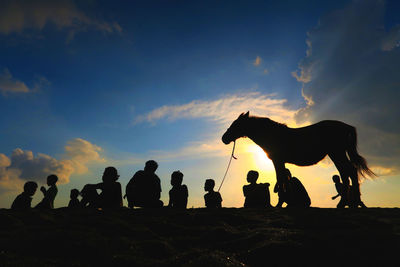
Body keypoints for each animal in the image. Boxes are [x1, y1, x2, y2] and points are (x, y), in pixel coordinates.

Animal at [222, 111, 376, 207]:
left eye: (236, 124)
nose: (224, 138)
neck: (272, 135)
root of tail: (346, 126)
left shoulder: (278, 160)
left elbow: (281, 180)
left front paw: (280, 203)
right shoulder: (281, 162)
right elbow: (284, 180)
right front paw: (287, 202)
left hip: (336, 153)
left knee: (349, 172)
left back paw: (350, 203)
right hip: (337, 154)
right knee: (347, 173)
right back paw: (351, 203)